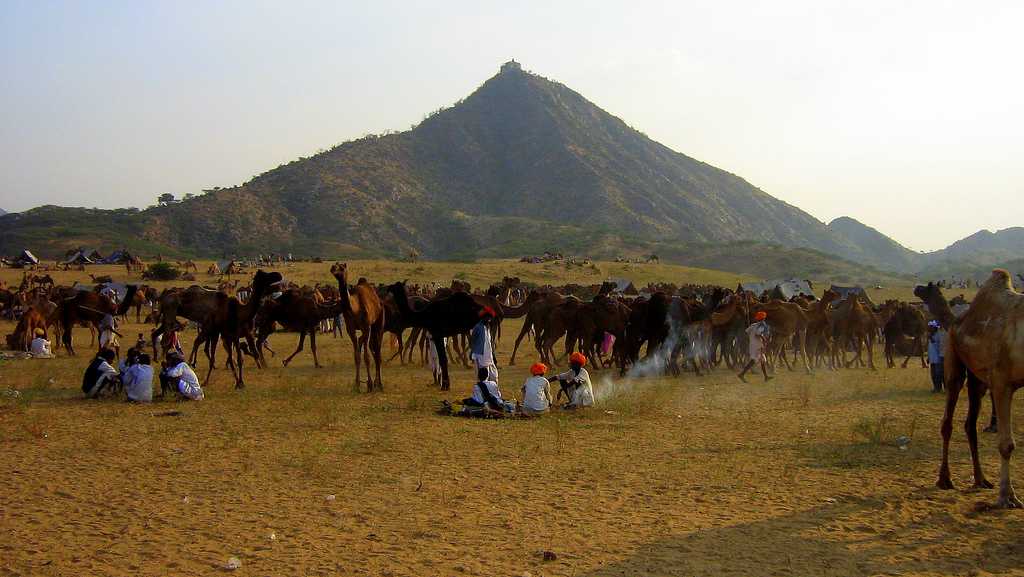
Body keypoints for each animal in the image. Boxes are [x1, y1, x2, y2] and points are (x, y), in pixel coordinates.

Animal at [329, 262, 385, 393]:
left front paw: (369, 384)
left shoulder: (366, 327)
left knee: (377, 350)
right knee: (370, 347)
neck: (355, 308)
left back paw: (379, 384)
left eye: (342, 268)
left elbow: (366, 357)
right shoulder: (351, 329)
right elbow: (357, 356)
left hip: (378, 323)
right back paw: (375, 383)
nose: (333, 269)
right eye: (334, 265)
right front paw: (357, 385)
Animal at [921, 270, 1024, 510]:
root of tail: (955, 323)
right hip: (953, 362)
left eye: (928, 288)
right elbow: (1006, 444)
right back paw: (944, 480)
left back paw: (981, 479)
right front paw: (1006, 497)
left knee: (970, 424)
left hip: (978, 381)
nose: (917, 288)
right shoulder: (1001, 381)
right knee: (948, 421)